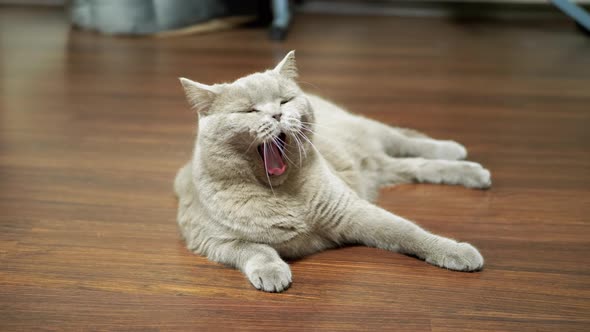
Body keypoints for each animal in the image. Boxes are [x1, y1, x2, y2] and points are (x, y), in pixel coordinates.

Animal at [175, 50, 490, 292]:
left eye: (285, 100)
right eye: (249, 111)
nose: (277, 114)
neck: (282, 192)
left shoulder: (354, 211)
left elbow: (408, 231)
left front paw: (455, 250)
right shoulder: (212, 240)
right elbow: (255, 249)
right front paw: (273, 272)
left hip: (373, 132)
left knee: (409, 142)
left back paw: (454, 150)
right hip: (381, 164)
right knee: (418, 165)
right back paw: (472, 171)